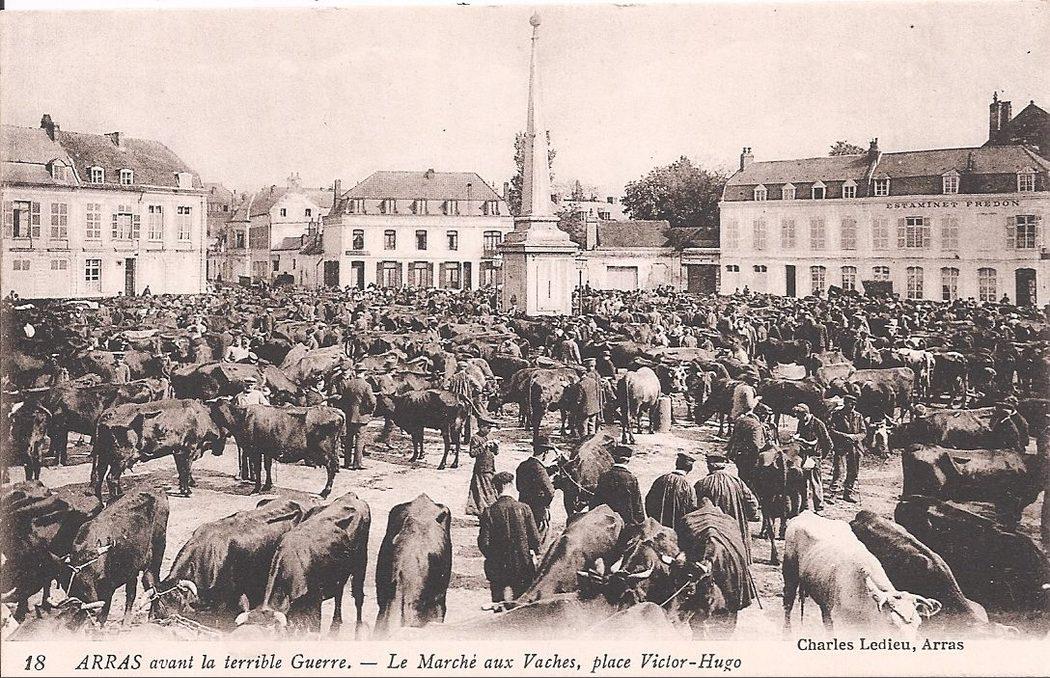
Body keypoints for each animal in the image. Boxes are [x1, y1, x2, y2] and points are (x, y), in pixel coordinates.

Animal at [61, 489, 169, 625]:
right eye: (77, 581)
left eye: (97, 576)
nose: (94, 606)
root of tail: (158, 491)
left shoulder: (108, 587)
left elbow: (103, 614)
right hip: (133, 566)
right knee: (133, 592)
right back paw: (126, 621)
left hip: (157, 553)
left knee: (151, 582)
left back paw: (152, 616)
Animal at [92, 399, 225, 501]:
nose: (219, 452)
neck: (199, 417)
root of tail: (106, 415)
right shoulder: (189, 449)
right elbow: (186, 469)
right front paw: (187, 491)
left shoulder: (177, 451)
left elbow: (181, 470)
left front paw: (183, 488)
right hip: (121, 458)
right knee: (111, 478)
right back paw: (115, 499)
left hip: (104, 457)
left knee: (99, 477)